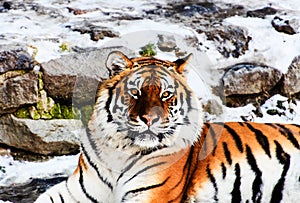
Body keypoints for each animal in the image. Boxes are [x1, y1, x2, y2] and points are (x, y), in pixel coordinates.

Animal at [35, 51, 300, 203]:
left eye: (165, 95)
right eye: (135, 92)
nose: (149, 119)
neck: (120, 150)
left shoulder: (151, 195)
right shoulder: (77, 191)